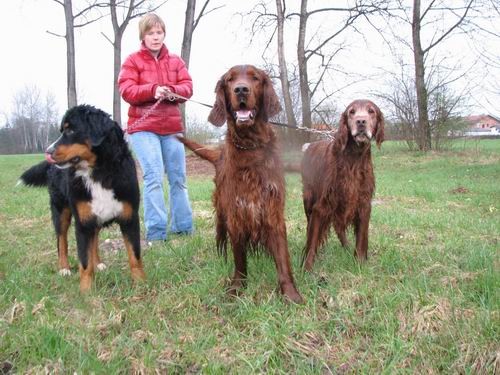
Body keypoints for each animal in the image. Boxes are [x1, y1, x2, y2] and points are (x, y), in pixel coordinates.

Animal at [19, 104, 145, 292]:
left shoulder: (129, 218)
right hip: (61, 211)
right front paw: (86, 291)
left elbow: (134, 256)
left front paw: (141, 284)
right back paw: (64, 268)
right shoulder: (83, 222)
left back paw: (98, 263)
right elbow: (84, 262)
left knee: (94, 240)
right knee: (61, 241)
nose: (48, 151)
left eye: (70, 130)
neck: (99, 174)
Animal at [180, 64, 304, 304]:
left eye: (255, 78)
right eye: (230, 80)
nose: (241, 90)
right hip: (221, 213)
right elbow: (239, 257)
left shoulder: (273, 211)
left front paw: (290, 293)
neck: (250, 147)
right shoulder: (236, 213)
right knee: (221, 239)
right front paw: (237, 287)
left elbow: (283, 259)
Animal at [298, 99, 384, 270]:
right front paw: (307, 267)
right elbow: (312, 239)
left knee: (339, 227)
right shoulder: (322, 205)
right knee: (310, 225)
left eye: (371, 111)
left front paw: (359, 262)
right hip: (309, 198)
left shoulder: (363, 203)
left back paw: (346, 246)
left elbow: (361, 237)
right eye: (352, 112)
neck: (353, 159)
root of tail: (309, 145)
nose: (361, 122)